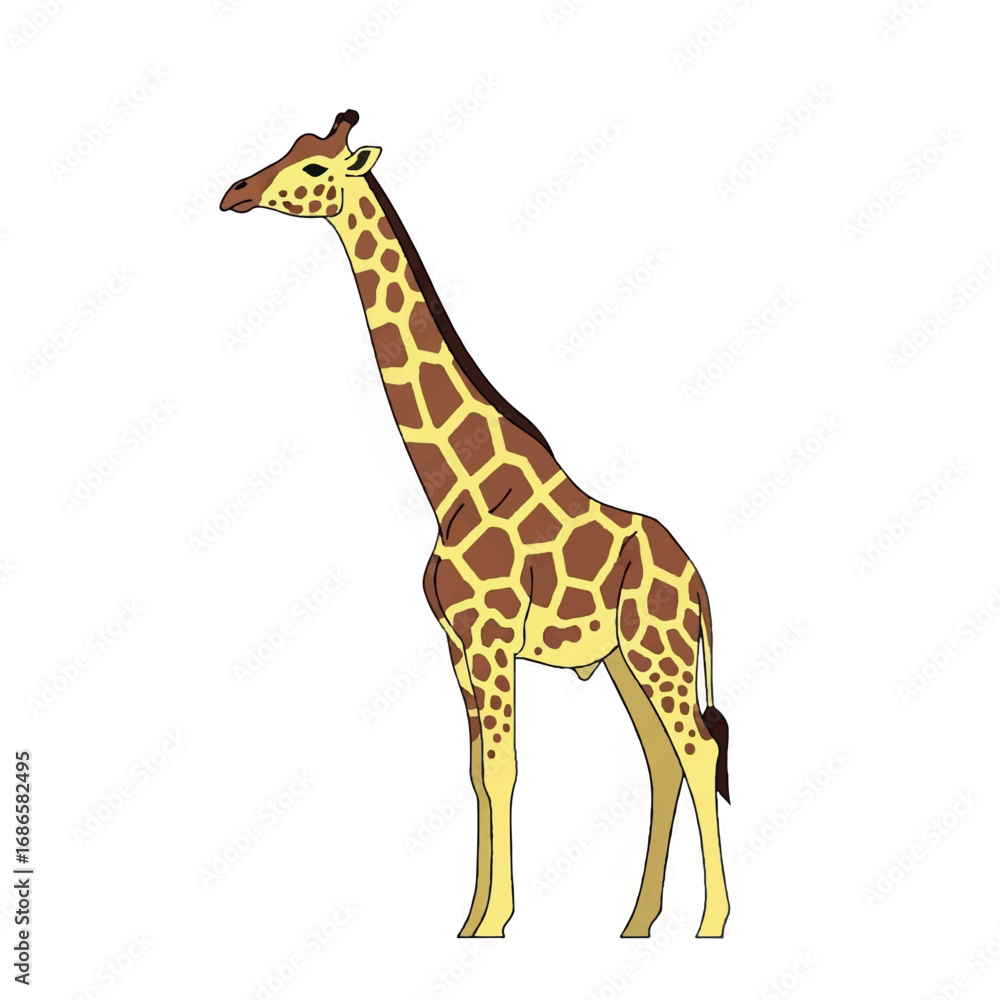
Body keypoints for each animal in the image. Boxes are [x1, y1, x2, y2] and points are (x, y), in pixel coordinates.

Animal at [220, 109, 731, 939]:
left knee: (697, 751)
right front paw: (470, 919)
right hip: (625, 658)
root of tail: (699, 581)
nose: (235, 190)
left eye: (318, 168)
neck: (453, 485)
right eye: (291, 150)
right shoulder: (457, 644)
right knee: (662, 758)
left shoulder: (491, 637)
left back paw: (712, 922)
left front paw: (494, 923)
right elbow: (475, 774)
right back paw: (637, 921)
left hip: (659, 649)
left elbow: (503, 767)